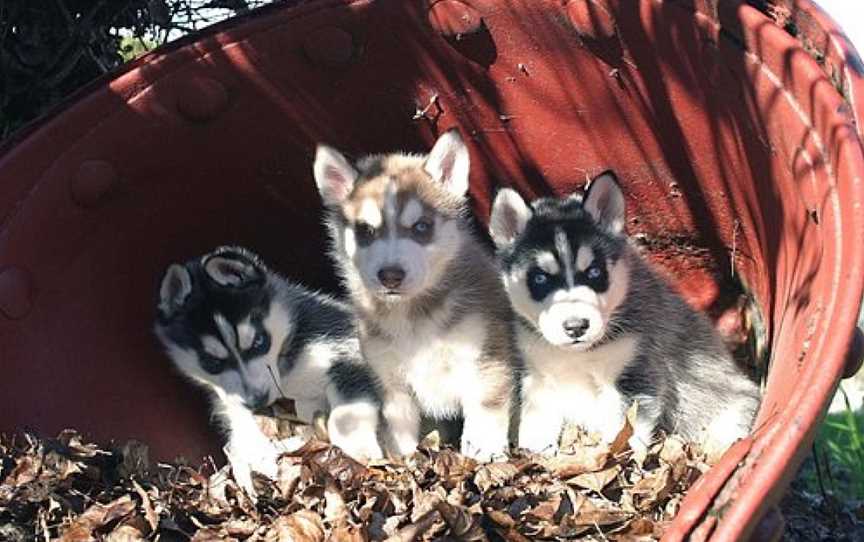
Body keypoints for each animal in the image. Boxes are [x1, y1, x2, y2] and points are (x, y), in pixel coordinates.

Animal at [154, 249, 382, 496]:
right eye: (211, 362)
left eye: (259, 341)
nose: (258, 401)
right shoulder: (234, 405)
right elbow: (245, 429)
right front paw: (259, 460)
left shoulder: (345, 350)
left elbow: (345, 415)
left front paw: (358, 448)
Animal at [318, 130, 520, 462]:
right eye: (365, 230)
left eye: (421, 226)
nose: (390, 275)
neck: (412, 317)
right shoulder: (391, 381)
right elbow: (400, 431)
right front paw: (404, 463)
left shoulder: (486, 361)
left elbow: (484, 416)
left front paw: (484, 455)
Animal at [490, 173, 760, 460]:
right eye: (540, 278)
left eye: (595, 272)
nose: (576, 326)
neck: (578, 355)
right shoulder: (538, 376)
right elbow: (537, 422)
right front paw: (535, 456)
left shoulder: (635, 374)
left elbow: (624, 431)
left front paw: (617, 460)